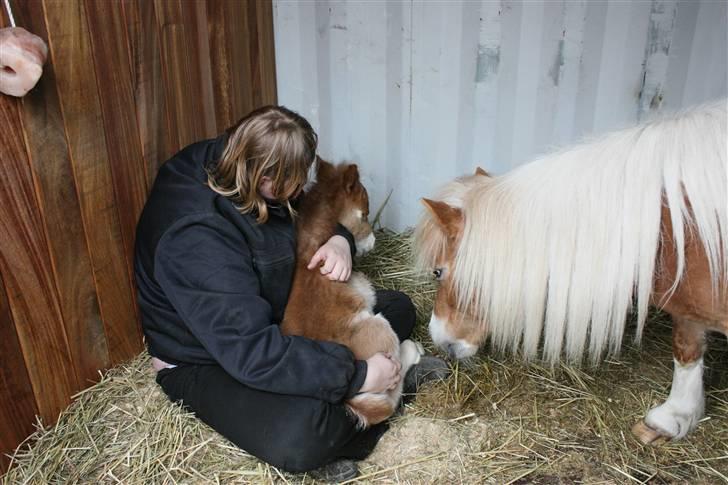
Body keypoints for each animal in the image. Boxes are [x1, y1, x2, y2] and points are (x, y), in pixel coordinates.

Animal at [282, 159, 424, 428]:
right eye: (365, 213)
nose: (374, 242)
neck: (312, 245)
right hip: (379, 327)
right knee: (387, 400)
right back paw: (413, 349)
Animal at [416, 101, 728, 442]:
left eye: (438, 272)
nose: (439, 339)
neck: (677, 227)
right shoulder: (689, 303)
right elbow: (686, 347)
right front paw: (675, 417)